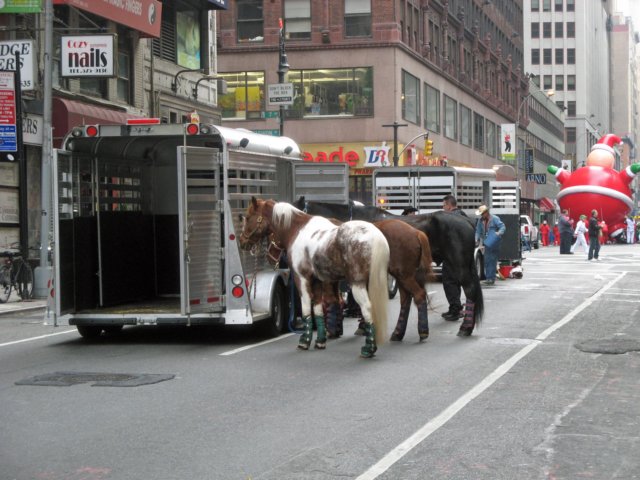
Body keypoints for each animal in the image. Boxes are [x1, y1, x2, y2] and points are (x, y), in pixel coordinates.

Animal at [239, 197, 390, 358]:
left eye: (248, 217)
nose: (242, 242)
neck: (297, 229)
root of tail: (376, 236)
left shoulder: (301, 278)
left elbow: (306, 308)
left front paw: (304, 341)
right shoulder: (317, 281)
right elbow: (317, 309)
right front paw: (320, 341)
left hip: (357, 284)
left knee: (367, 308)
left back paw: (368, 349)